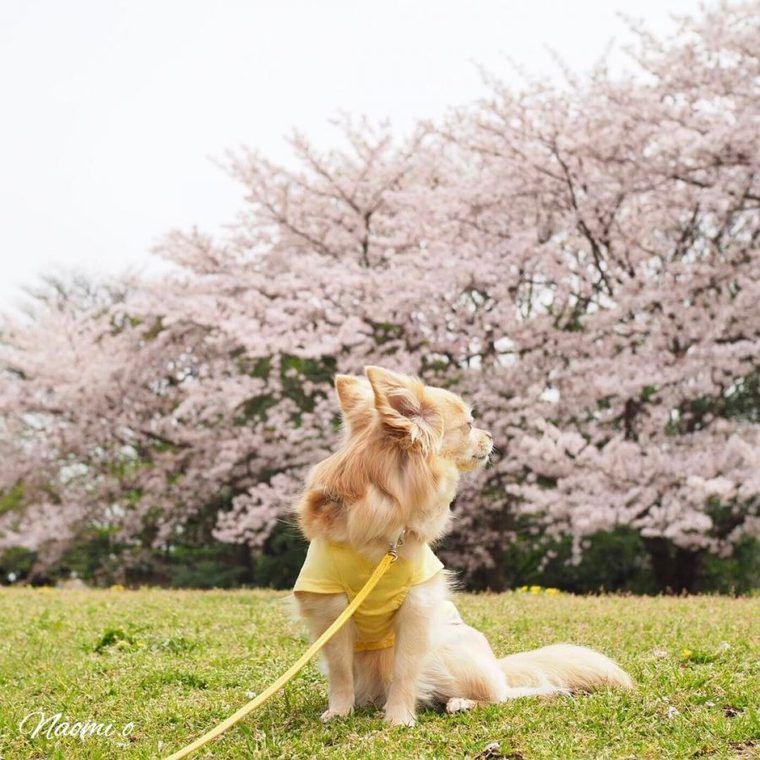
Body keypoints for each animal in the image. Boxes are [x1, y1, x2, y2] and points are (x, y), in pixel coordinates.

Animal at [290, 366, 628, 724]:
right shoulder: (331, 610)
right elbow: (340, 670)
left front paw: (399, 719)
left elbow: (405, 670)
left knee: (503, 695)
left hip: (451, 652)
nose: (491, 435)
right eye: (468, 424)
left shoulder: (417, 605)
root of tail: (496, 667)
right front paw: (339, 712)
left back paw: (463, 702)